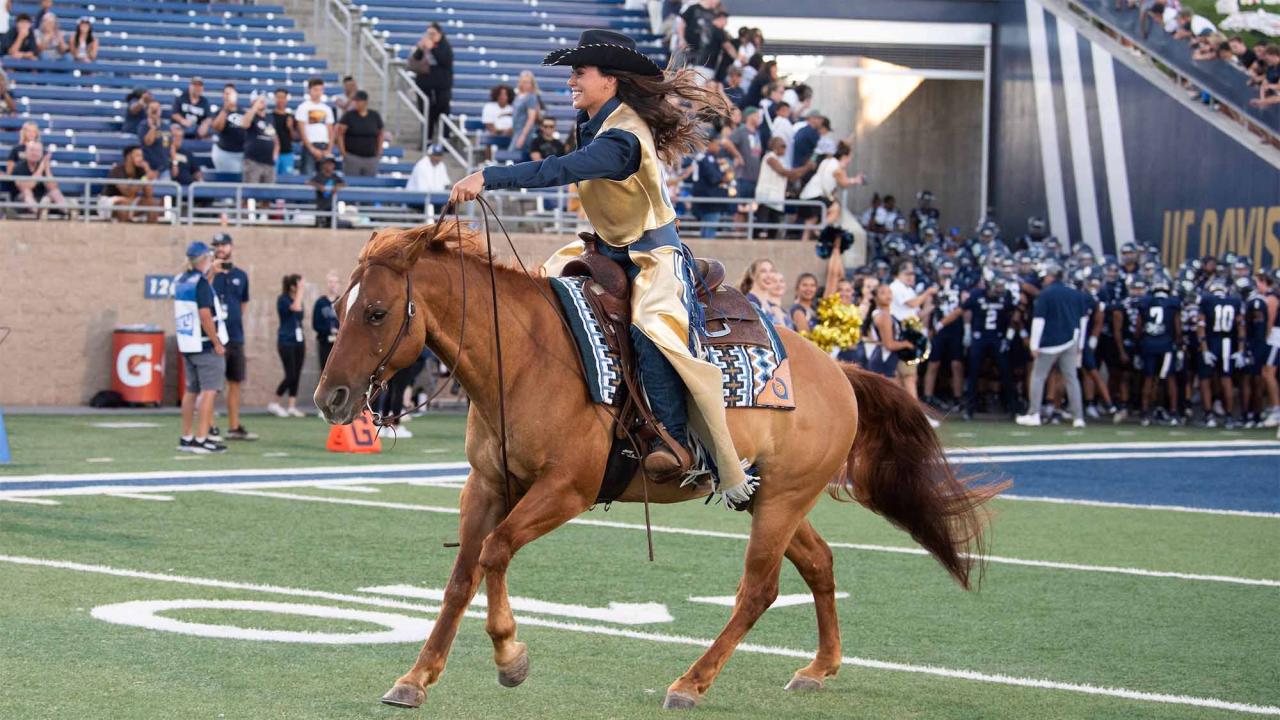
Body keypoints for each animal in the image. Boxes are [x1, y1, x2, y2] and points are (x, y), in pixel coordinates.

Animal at [312, 221, 1008, 707]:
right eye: (339, 308)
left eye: (376, 311)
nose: (330, 399)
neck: (526, 357)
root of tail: (839, 372)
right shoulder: (485, 486)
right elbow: (462, 576)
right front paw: (416, 678)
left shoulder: (565, 489)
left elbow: (496, 552)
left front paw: (511, 657)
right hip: (766, 495)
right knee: (818, 564)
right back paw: (818, 669)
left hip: (782, 499)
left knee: (759, 589)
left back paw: (691, 683)